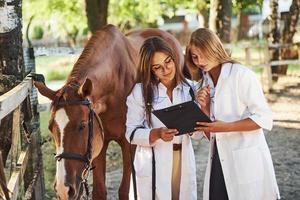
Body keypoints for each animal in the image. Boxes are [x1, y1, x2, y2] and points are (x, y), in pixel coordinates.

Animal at [34, 24, 185, 199]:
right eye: (51, 128)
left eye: (82, 125)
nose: (63, 189)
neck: (115, 81)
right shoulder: (98, 144)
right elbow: (99, 191)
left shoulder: (129, 144)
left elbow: (125, 190)